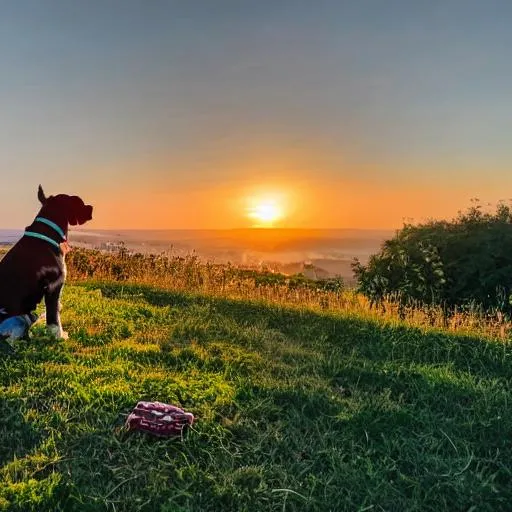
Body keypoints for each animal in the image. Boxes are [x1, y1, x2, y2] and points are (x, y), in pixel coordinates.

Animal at [0, 185, 93, 340]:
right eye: (79, 202)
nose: (91, 207)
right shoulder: (54, 286)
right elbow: (54, 318)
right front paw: (59, 337)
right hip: (17, 319)